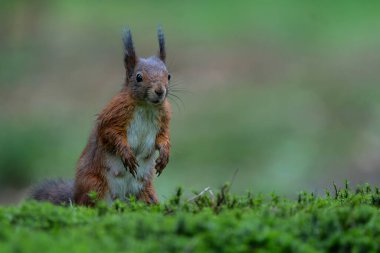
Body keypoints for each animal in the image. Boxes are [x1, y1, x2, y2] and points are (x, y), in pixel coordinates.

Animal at [29, 27, 171, 207]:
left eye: (169, 76)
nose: (160, 91)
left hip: (146, 191)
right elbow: (110, 133)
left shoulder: (163, 120)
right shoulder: (113, 115)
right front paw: (126, 154)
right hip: (94, 185)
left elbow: (163, 136)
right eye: (139, 77)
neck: (147, 107)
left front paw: (165, 154)